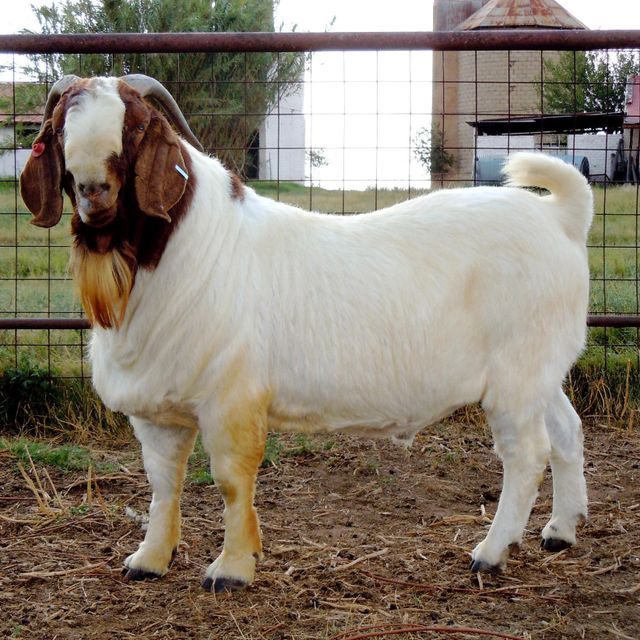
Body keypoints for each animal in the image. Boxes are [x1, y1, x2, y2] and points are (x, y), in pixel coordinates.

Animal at [20, 74, 592, 593]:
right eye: (59, 126)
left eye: (135, 126)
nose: (94, 189)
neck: (180, 249)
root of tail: (560, 218)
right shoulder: (157, 410)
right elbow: (163, 481)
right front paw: (149, 559)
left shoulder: (231, 397)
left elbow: (231, 480)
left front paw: (232, 569)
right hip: (541, 372)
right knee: (566, 431)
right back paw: (560, 531)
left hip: (517, 375)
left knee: (526, 454)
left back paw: (490, 553)